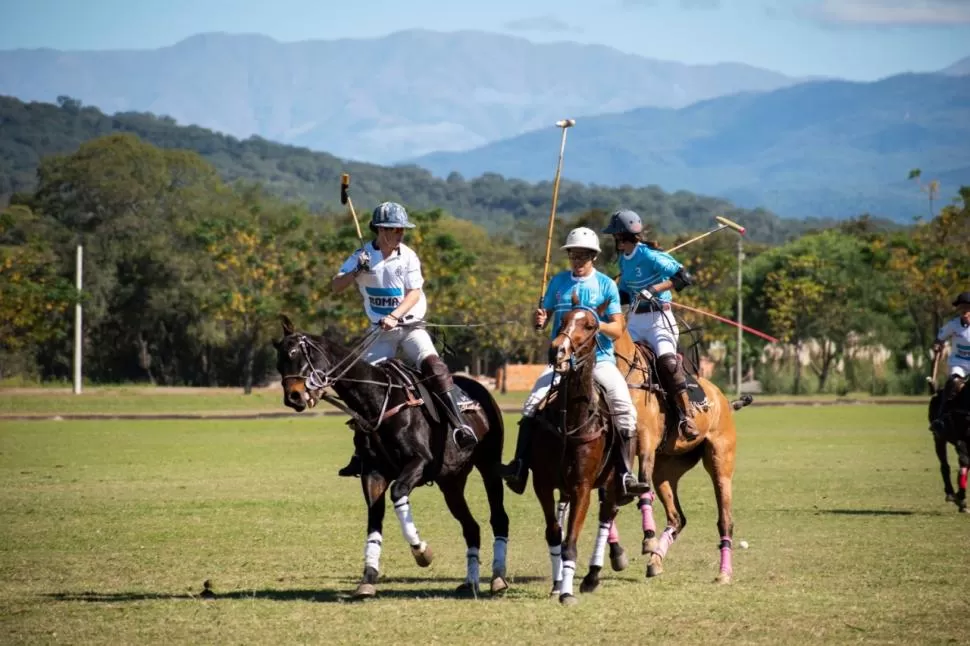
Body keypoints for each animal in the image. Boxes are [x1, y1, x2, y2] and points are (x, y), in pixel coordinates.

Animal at [274, 316, 510, 600]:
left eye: (296, 354)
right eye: (278, 362)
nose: (293, 397)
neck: (376, 402)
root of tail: (479, 387)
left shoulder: (419, 463)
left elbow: (398, 493)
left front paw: (422, 552)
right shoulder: (373, 472)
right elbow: (374, 518)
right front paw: (367, 579)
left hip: (489, 465)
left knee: (499, 517)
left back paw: (498, 578)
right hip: (451, 481)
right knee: (471, 526)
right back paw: (471, 581)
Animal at [612, 332, 748, 584]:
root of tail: (724, 401)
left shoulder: (645, 441)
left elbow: (640, 483)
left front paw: (647, 539)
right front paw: (617, 551)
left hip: (720, 463)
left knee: (725, 519)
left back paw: (724, 573)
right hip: (666, 469)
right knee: (677, 517)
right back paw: (655, 561)